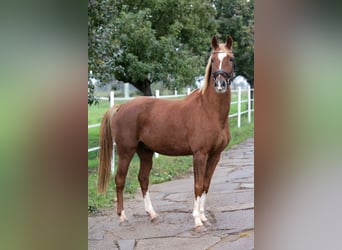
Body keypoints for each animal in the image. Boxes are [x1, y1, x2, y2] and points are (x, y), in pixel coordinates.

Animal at [97, 35, 234, 230]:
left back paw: (152, 214)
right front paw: (197, 220)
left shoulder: (215, 155)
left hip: (145, 152)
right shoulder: (199, 154)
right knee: (120, 179)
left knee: (143, 179)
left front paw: (203, 216)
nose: (220, 84)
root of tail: (121, 107)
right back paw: (122, 216)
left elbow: (206, 185)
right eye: (213, 60)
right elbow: (198, 185)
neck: (209, 111)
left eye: (231, 59)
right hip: (125, 151)